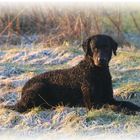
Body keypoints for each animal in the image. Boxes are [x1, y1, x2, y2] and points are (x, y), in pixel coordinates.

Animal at [3, 34, 140, 112]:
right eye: (94, 48)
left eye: (107, 47)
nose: (101, 60)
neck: (98, 73)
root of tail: (23, 89)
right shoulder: (92, 103)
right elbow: (113, 107)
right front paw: (127, 111)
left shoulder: (109, 98)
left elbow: (127, 103)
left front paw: (135, 108)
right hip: (39, 87)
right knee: (24, 107)